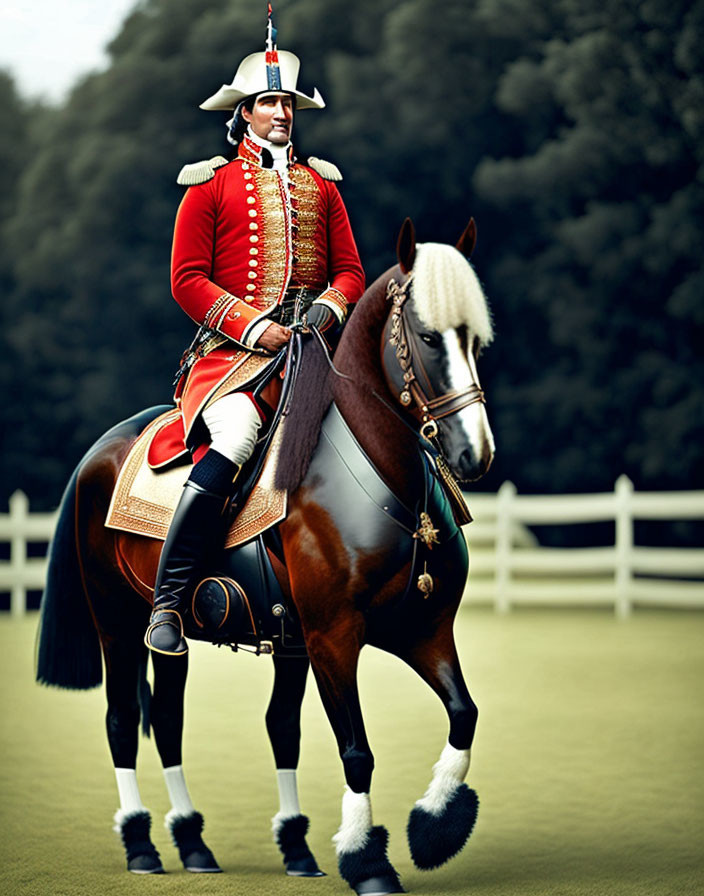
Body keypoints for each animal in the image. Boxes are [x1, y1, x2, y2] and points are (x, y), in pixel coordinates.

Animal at [34, 219, 496, 896]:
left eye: (477, 341)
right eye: (431, 337)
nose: (474, 454)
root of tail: (103, 447)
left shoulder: (422, 630)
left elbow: (462, 714)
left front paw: (435, 826)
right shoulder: (334, 637)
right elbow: (356, 750)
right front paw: (368, 859)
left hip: (183, 637)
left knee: (173, 718)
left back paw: (198, 841)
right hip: (116, 622)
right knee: (122, 720)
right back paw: (141, 843)